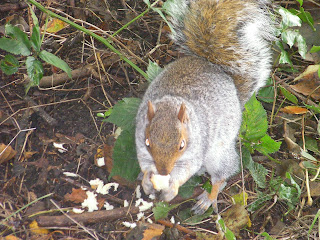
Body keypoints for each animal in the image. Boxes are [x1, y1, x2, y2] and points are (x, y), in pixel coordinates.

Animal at [135, 0, 276, 214]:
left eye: (182, 145)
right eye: (148, 142)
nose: (163, 171)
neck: (172, 103)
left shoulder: (196, 150)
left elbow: (187, 169)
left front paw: (172, 187)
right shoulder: (141, 145)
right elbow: (144, 163)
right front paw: (146, 180)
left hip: (218, 155)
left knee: (221, 177)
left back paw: (208, 198)